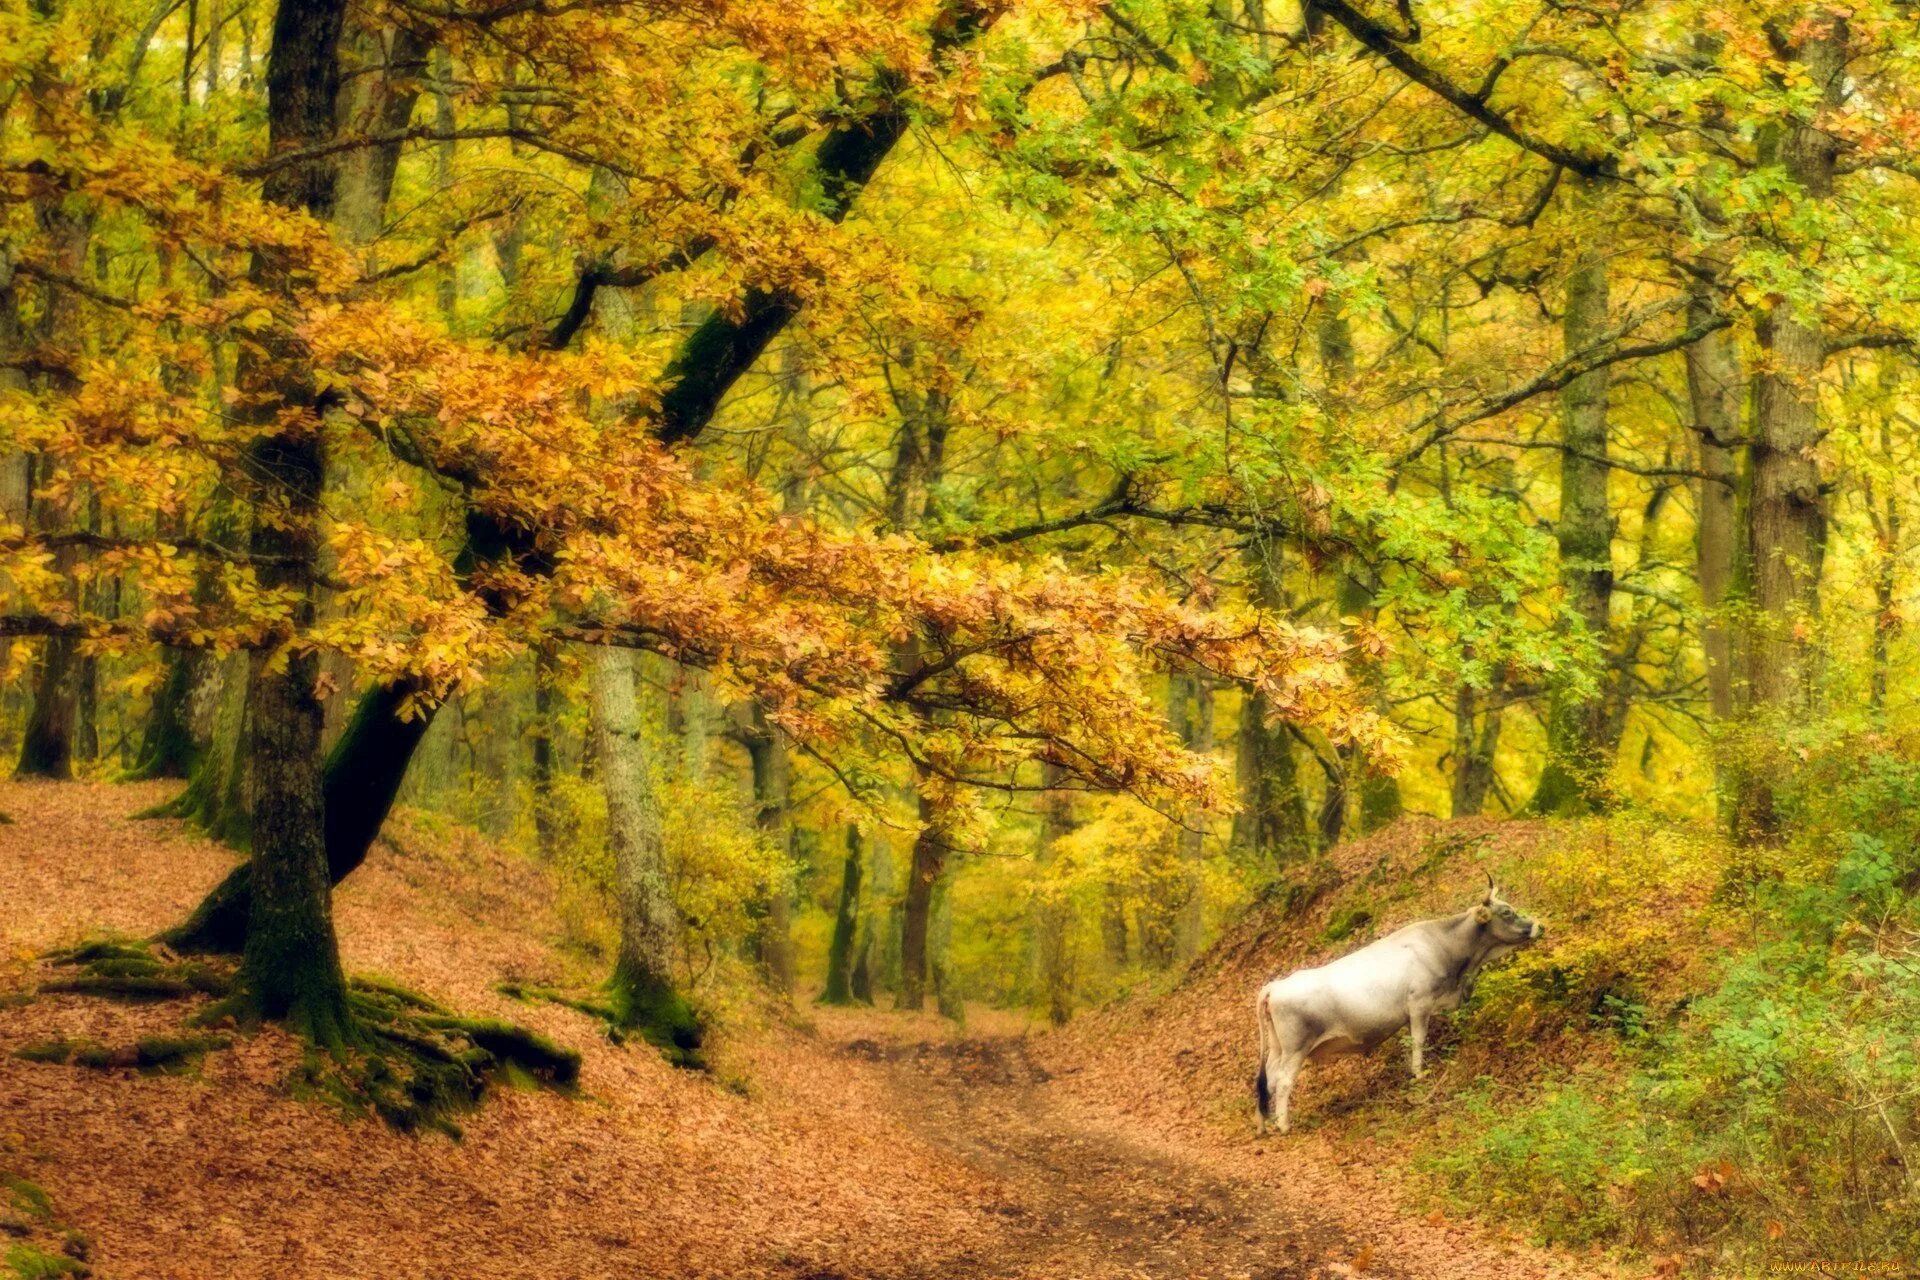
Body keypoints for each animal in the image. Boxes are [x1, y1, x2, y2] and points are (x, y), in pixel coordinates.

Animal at [1251, 875, 1551, 1136]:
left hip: (1278, 1048)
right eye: (1507, 912)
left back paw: (1264, 1125)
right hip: (1296, 1048)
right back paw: (1283, 1125)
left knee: (1268, 1081)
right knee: (1283, 1081)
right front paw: (1419, 1073)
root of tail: (1276, 985)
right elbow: (1418, 1041)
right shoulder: (1419, 1004)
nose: (1540, 926)